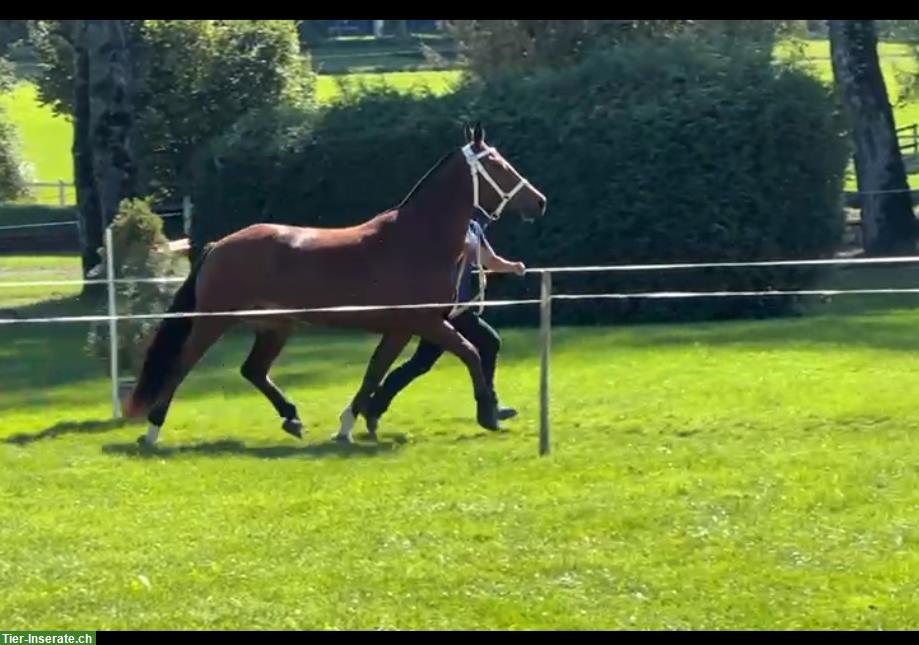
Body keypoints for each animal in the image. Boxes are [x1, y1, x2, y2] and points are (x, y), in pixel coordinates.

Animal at [127, 122, 548, 442]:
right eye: (498, 165)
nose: (540, 201)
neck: (416, 239)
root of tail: (218, 246)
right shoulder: (426, 322)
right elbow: (471, 353)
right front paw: (488, 414)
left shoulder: (401, 328)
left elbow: (375, 372)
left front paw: (349, 424)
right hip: (214, 321)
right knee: (181, 366)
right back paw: (152, 431)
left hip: (276, 326)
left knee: (253, 370)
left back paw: (293, 417)